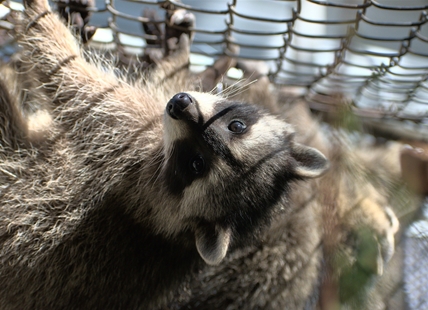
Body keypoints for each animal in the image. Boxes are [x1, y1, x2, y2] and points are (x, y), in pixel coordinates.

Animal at [0, 0, 328, 308]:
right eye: (237, 126)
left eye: (196, 164)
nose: (181, 105)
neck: (174, 236)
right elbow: (159, 83)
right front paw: (177, 59)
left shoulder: (131, 146)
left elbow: (70, 81)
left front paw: (40, 15)